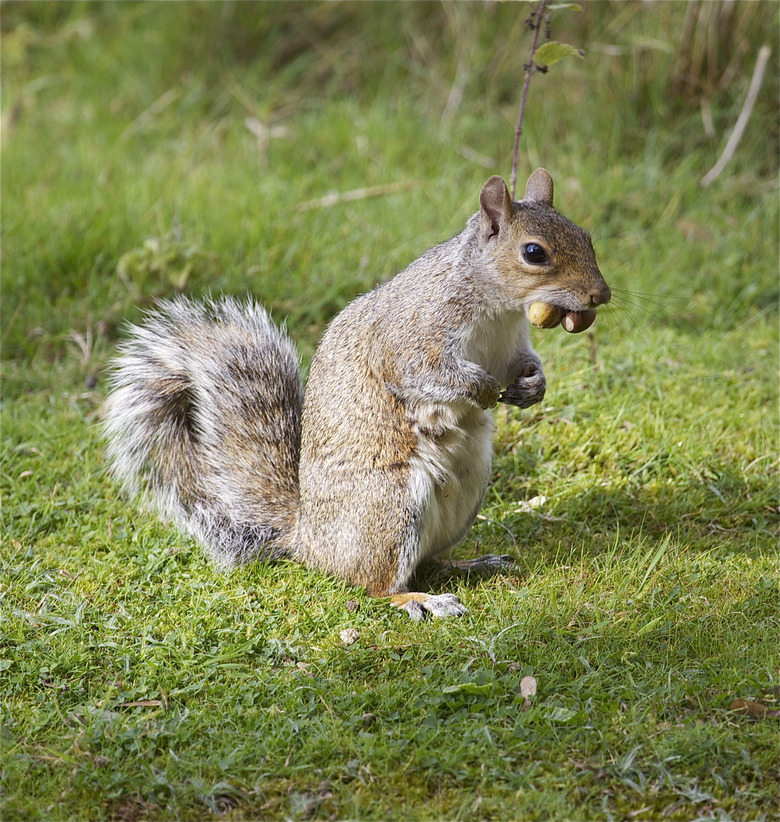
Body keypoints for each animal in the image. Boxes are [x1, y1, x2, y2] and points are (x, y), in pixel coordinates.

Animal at [103, 175, 608, 624]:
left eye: (586, 235)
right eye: (533, 252)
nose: (600, 295)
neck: (498, 308)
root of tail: (308, 538)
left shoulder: (513, 346)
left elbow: (525, 365)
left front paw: (534, 386)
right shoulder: (414, 336)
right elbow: (426, 373)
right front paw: (481, 388)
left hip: (466, 488)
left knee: (426, 560)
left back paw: (468, 565)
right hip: (389, 505)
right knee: (374, 583)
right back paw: (419, 600)